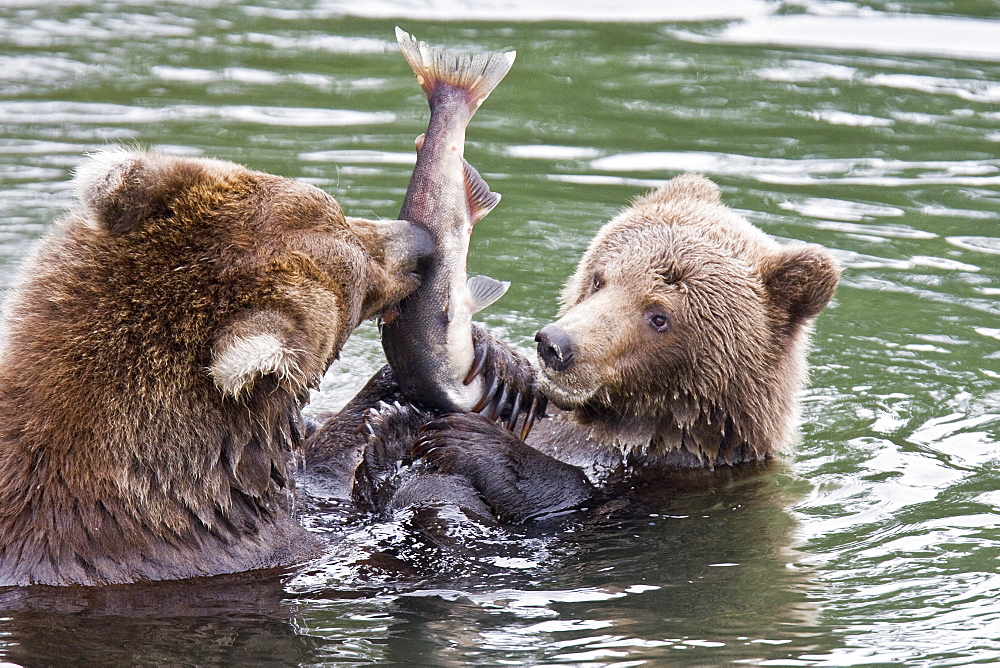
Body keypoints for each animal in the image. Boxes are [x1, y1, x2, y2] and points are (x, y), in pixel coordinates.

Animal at [402, 174, 840, 528]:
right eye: (600, 279)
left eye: (659, 316)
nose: (555, 345)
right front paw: (496, 363)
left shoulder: (674, 489)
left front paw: (471, 443)